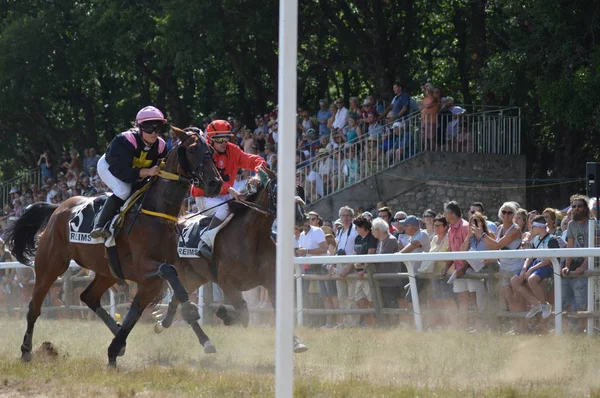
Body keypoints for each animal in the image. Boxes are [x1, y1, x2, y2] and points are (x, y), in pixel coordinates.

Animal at [4, 126, 225, 366]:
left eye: (211, 150)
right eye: (192, 149)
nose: (215, 183)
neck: (157, 213)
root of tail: (58, 208)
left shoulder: (153, 279)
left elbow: (139, 310)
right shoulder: (143, 268)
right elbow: (171, 281)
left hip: (106, 271)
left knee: (88, 297)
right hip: (51, 264)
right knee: (34, 307)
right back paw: (26, 350)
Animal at [155, 167, 310, 352]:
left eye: (298, 190)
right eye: (278, 191)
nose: (301, 218)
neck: (252, 238)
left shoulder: (271, 281)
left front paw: (296, 342)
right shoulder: (227, 283)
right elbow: (244, 314)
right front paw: (224, 314)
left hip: (195, 278)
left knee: (176, 301)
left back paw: (163, 325)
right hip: (182, 274)